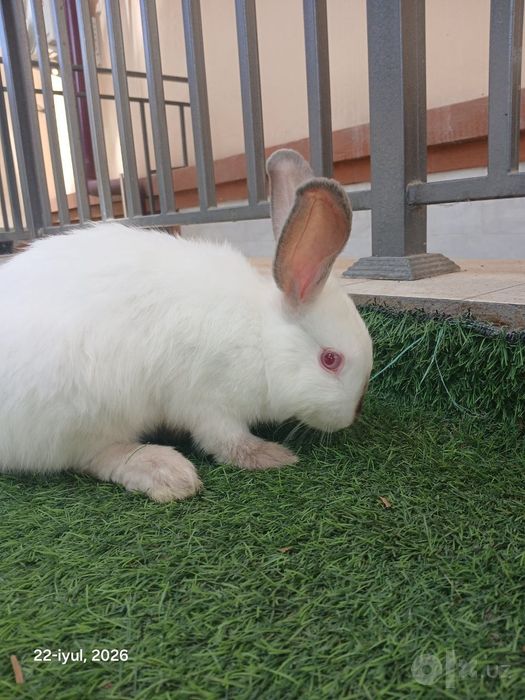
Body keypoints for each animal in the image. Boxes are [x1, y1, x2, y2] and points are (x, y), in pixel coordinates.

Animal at [0, 149, 373, 502]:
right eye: (330, 360)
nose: (352, 416)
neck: (263, 340)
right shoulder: (210, 402)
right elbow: (226, 441)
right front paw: (271, 456)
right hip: (85, 415)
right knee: (93, 455)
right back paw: (165, 471)